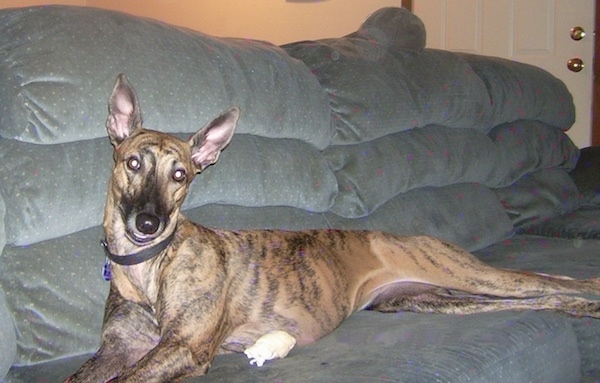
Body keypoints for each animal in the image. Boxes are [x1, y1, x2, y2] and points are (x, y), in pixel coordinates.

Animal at [68, 73, 600, 382]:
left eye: (180, 175)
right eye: (132, 162)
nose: (148, 222)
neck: (149, 266)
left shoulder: (185, 346)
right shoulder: (116, 350)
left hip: (468, 274)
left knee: (553, 281)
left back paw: (586, 297)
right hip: (426, 299)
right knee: (541, 297)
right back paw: (575, 310)